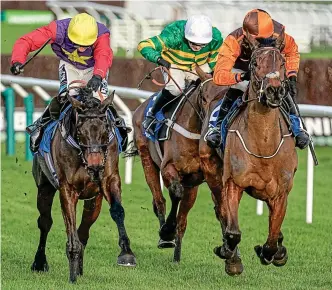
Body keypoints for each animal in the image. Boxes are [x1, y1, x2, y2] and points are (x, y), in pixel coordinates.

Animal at [30, 84, 136, 284]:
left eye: (105, 129)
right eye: (79, 130)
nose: (95, 165)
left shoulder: (109, 179)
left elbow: (117, 211)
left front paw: (126, 254)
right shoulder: (67, 189)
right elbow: (70, 230)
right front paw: (72, 273)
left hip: (94, 200)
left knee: (84, 230)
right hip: (44, 187)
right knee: (45, 222)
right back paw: (39, 263)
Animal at [130, 67, 226, 262]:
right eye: (203, 97)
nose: (213, 131)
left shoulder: (203, 176)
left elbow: (218, 207)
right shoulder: (168, 168)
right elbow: (175, 192)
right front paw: (167, 232)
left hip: (192, 185)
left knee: (182, 218)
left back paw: (176, 256)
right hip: (147, 160)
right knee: (159, 200)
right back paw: (165, 236)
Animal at [198, 38, 296, 274]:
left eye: (282, 62)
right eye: (254, 63)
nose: (274, 91)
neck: (264, 145)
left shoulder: (281, 193)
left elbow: (272, 240)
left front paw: (274, 252)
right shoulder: (234, 183)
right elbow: (233, 232)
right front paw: (228, 254)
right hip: (212, 171)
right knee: (222, 212)